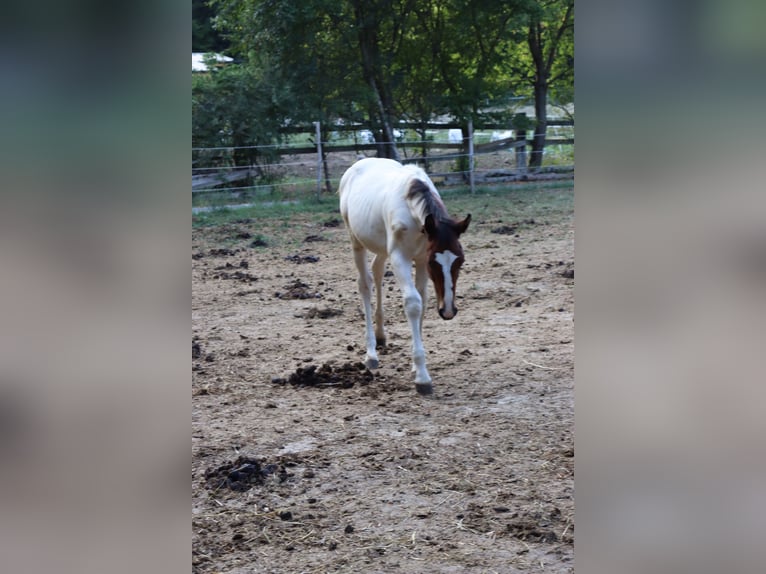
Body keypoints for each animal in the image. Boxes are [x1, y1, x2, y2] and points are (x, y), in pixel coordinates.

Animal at [340, 156, 472, 396]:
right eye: (434, 262)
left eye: (460, 260)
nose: (448, 311)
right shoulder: (401, 258)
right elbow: (413, 303)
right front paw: (422, 377)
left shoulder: (419, 259)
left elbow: (423, 301)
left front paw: (415, 367)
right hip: (357, 242)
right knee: (365, 285)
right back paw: (371, 352)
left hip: (382, 247)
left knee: (377, 271)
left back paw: (381, 336)